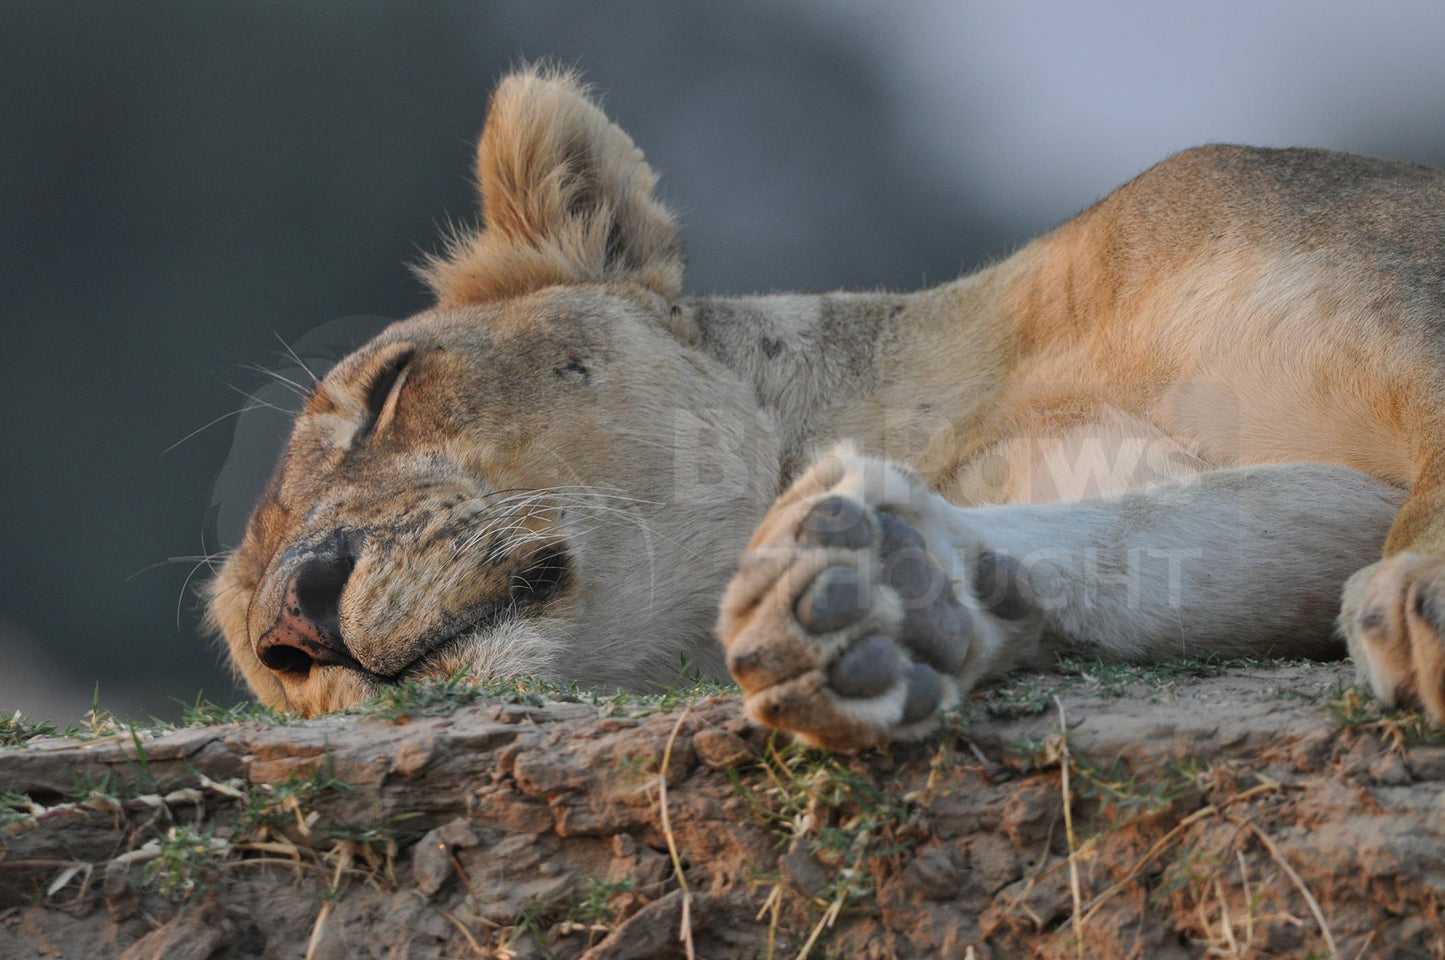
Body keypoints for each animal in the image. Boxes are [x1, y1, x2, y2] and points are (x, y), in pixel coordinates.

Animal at [206, 67, 1445, 751]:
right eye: (260, 661)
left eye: (388, 390)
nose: (299, 618)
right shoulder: (1278, 507)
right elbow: (1178, 541)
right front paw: (879, 600)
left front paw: (1424, 595)